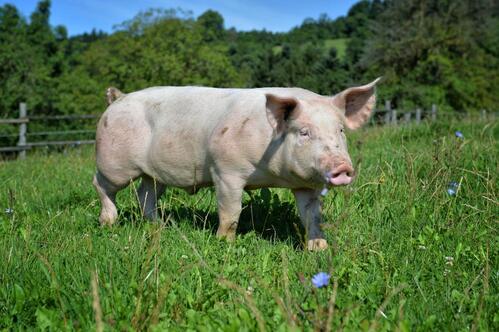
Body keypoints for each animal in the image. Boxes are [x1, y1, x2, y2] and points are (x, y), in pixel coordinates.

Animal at [94, 79, 380, 250]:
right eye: (304, 132)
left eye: (340, 130)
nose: (342, 167)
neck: (275, 174)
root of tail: (118, 98)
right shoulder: (226, 170)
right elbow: (231, 212)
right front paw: (226, 244)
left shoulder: (305, 185)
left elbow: (313, 216)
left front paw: (319, 249)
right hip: (113, 163)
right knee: (101, 185)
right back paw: (108, 223)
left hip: (154, 174)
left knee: (146, 194)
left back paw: (161, 225)